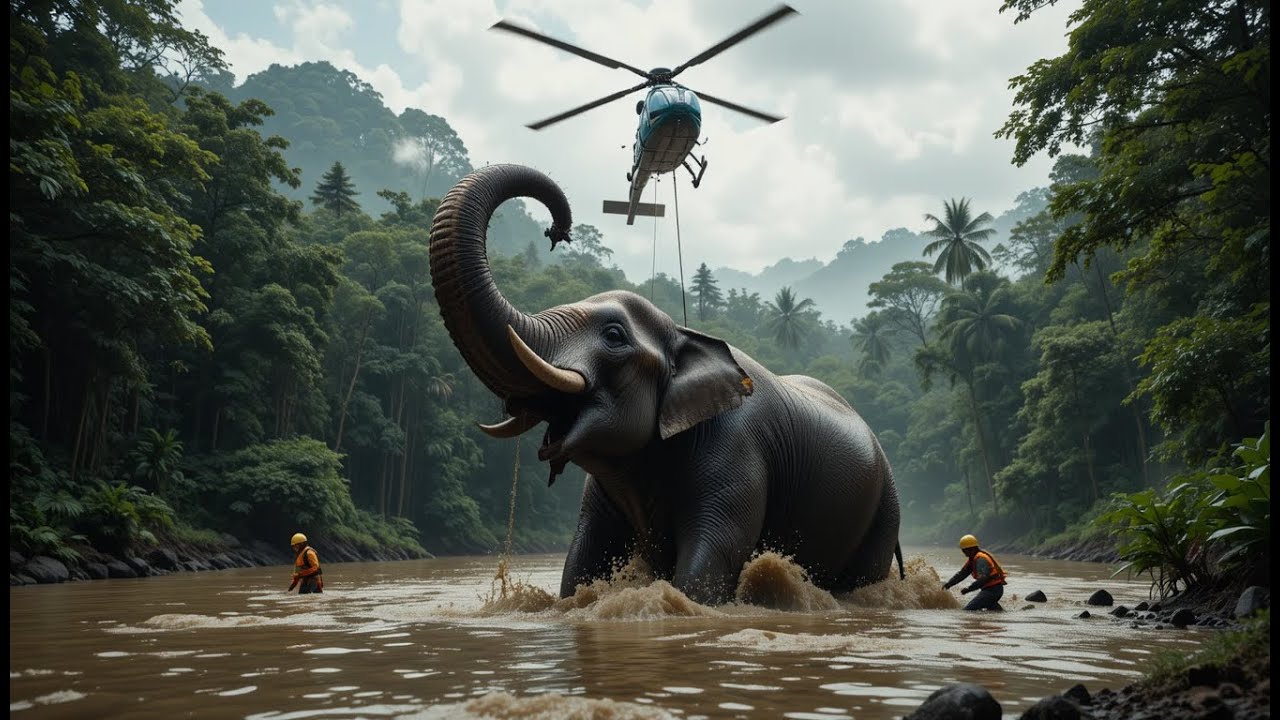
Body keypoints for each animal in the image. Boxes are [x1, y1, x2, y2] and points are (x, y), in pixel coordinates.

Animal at [428, 164, 904, 605]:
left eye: (614, 336)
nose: (557, 230)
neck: (682, 332)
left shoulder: (736, 451)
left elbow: (712, 556)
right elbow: (583, 556)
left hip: (886, 507)